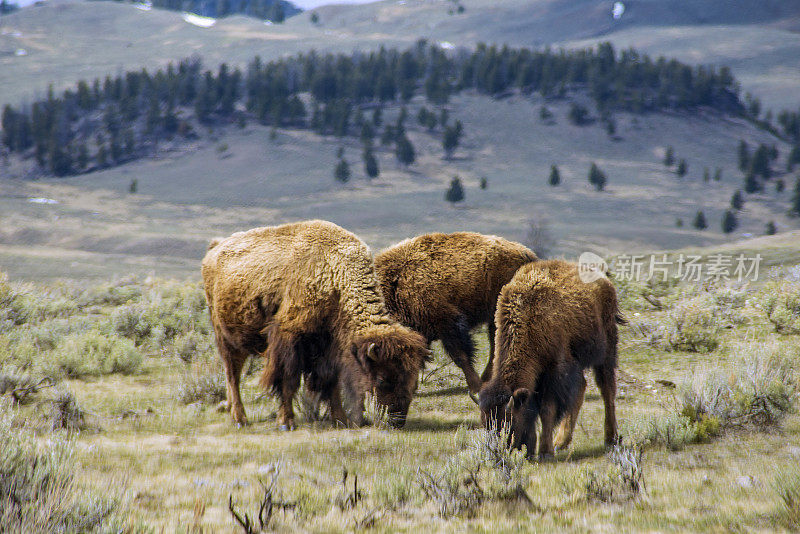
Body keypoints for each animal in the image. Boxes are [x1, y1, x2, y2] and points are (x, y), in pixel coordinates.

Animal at [202, 220, 432, 430]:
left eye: (413, 379)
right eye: (383, 379)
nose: (397, 421)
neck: (334, 273)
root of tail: (214, 249)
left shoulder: (330, 350)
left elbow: (332, 383)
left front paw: (341, 420)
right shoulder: (289, 340)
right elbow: (288, 381)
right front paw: (286, 422)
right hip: (226, 339)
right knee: (233, 376)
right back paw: (240, 419)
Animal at [476, 262, 624, 458]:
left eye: (509, 421)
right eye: (486, 424)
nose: (500, 452)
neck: (528, 319)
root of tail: (605, 280)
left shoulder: (554, 373)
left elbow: (547, 410)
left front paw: (545, 451)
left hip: (606, 351)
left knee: (607, 390)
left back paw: (610, 438)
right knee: (582, 387)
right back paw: (561, 442)